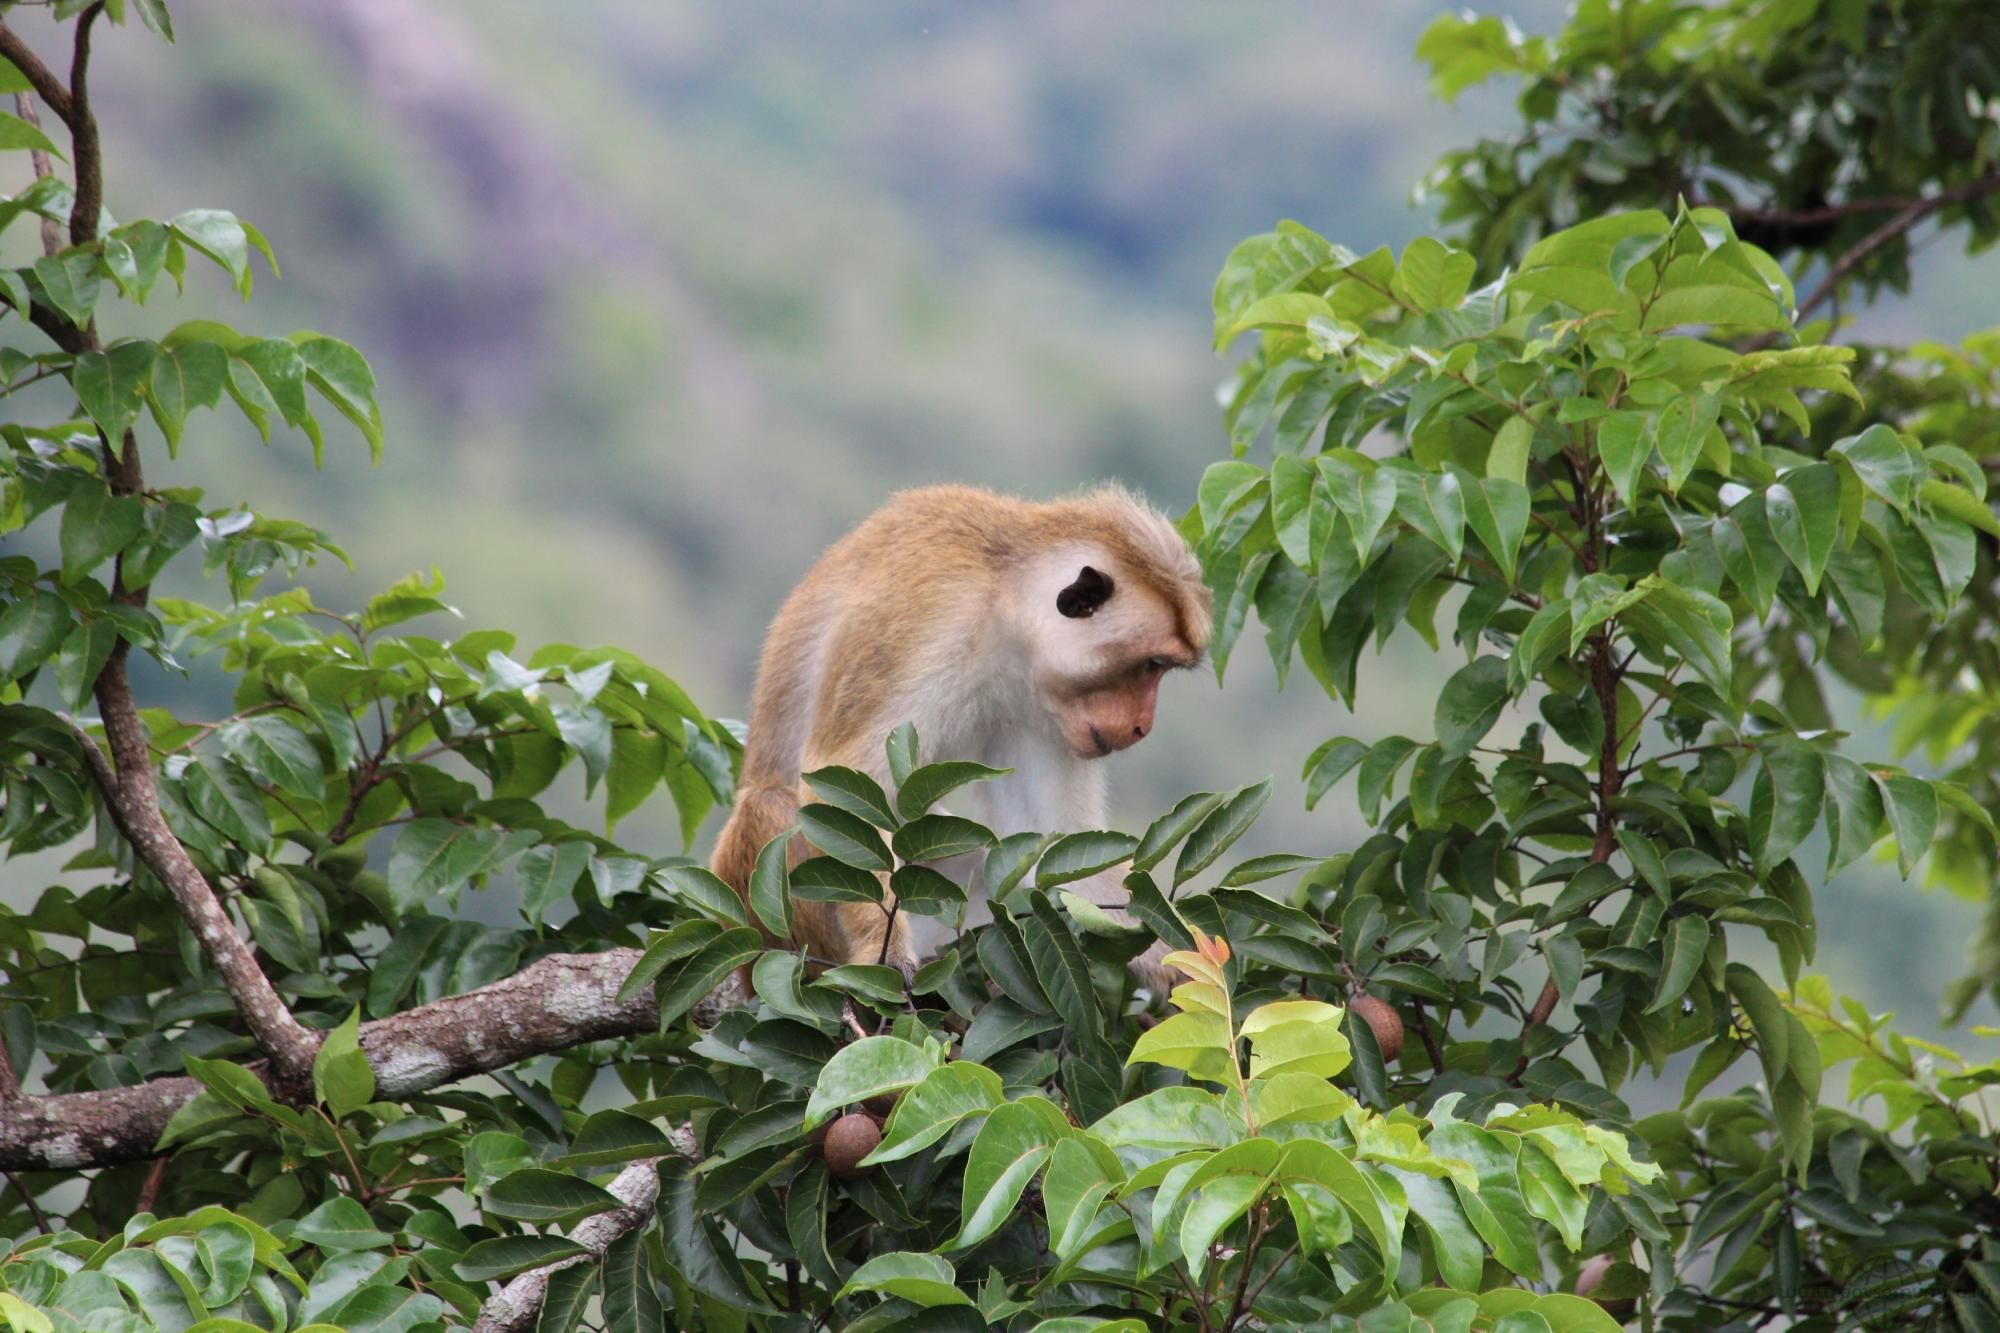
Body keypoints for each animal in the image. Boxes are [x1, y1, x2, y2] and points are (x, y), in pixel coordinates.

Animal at [708, 482, 1200, 992]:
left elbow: (1054, 840)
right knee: (767, 803)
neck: (1001, 605)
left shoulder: (1037, 708)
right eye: (1150, 665)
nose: (1143, 726)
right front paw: (885, 952)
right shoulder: (927, 621)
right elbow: (841, 780)